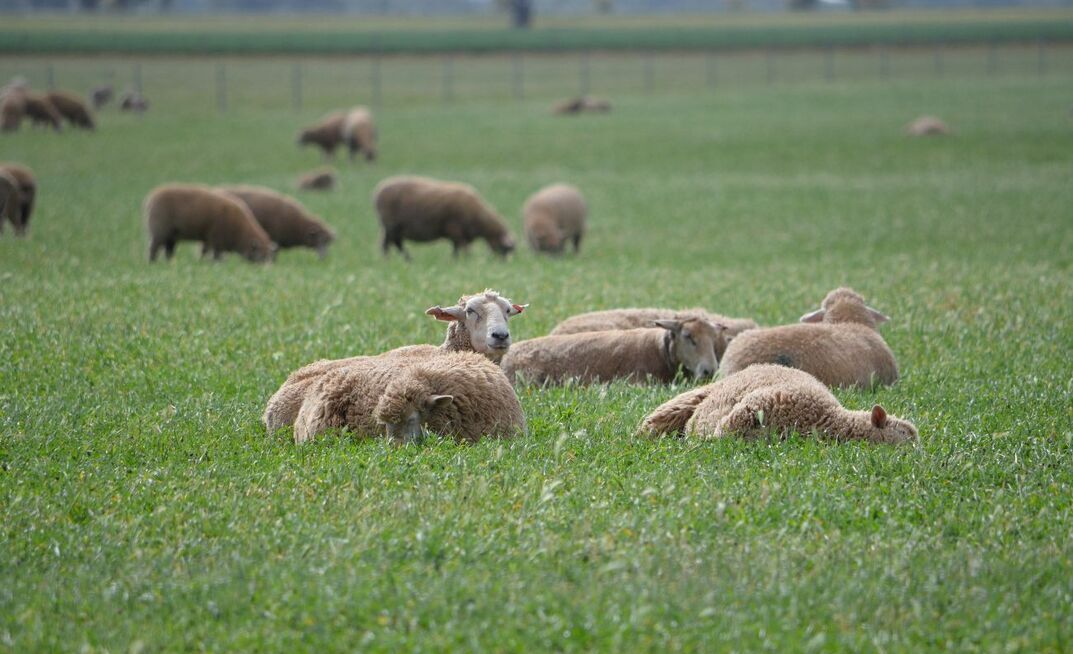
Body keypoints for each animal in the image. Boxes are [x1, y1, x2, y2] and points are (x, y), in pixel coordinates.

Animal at [144, 183, 276, 263]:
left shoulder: (208, 238)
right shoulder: (216, 237)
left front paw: (203, 262)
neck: (239, 230)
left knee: (169, 250)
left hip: (172, 235)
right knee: (154, 248)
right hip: (160, 230)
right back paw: (152, 262)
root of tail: (152, 198)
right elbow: (216, 254)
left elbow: (205, 251)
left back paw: (170, 263)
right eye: (262, 255)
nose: (267, 269)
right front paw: (216, 263)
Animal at [374, 175, 516, 260]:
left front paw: (456, 260)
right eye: (505, 249)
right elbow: (462, 247)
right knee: (388, 244)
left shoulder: (459, 233)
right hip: (391, 226)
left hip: (396, 228)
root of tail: (379, 190)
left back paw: (407, 259)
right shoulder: (456, 229)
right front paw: (466, 259)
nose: (502, 263)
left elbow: (456, 248)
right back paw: (390, 259)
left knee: (396, 243)